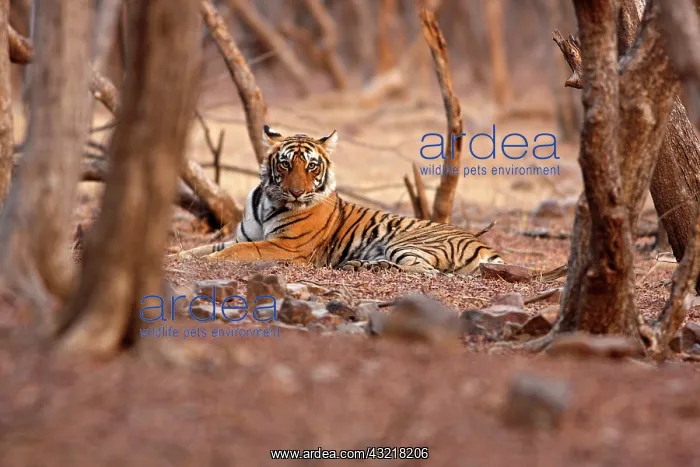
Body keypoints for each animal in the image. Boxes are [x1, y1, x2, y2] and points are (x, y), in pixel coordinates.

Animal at [175, 125, 504, 275]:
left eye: (311, 166)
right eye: (285, 164)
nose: (296, 192)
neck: (268, 201)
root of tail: (484, 244)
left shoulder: (284, 246)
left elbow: (236, 251)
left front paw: (208, 262)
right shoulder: (240, 236)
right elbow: (202, 247)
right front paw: (178, 256)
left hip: (406, 242)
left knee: (426, 271)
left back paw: (369, 267)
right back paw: (360, 264)